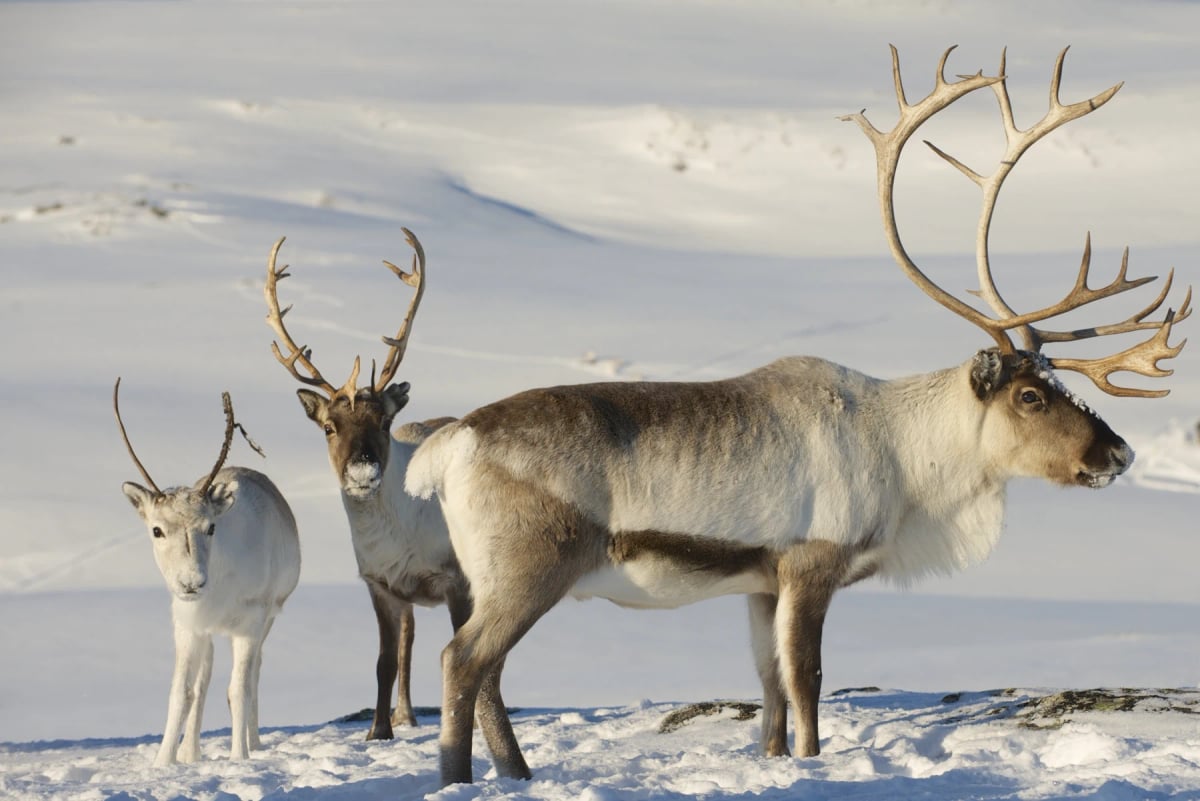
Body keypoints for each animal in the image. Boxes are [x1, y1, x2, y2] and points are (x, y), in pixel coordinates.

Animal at [114, 379, 301, 766]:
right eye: (156, 530)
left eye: (211, 527)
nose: (191, 583)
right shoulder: (186, 623)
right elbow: (182, 691)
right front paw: (163, 762)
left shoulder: (251, 622)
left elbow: (238, 690)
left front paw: (239, 758)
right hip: (208, 632)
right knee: (204, 680)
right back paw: (190, 752)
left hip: (267, 619)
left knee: (253, 674)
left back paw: (253, 743)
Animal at [264, 229, 519, 753]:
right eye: (328, 427)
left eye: (382, 420)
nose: (363, 468)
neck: (396, 537)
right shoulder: (380, 585)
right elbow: (384, 662)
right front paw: (378, 730)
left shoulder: (455, 580)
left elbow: (466, 654)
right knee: (407, 648)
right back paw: (405, 715)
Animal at [405, 46, 1191, 786]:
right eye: (1030, 396)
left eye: (1056, 382)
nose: (1117, 453)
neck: (907, 458)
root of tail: (451, 442)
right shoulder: (812, 563)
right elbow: (807, 681)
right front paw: (813, 762)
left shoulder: (760, 582)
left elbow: (770, 693)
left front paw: (775, 761)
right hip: (529, 567)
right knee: (462, 661)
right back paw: (461, 778)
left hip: (489, 579)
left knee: (489, 675)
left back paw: (517, 773)